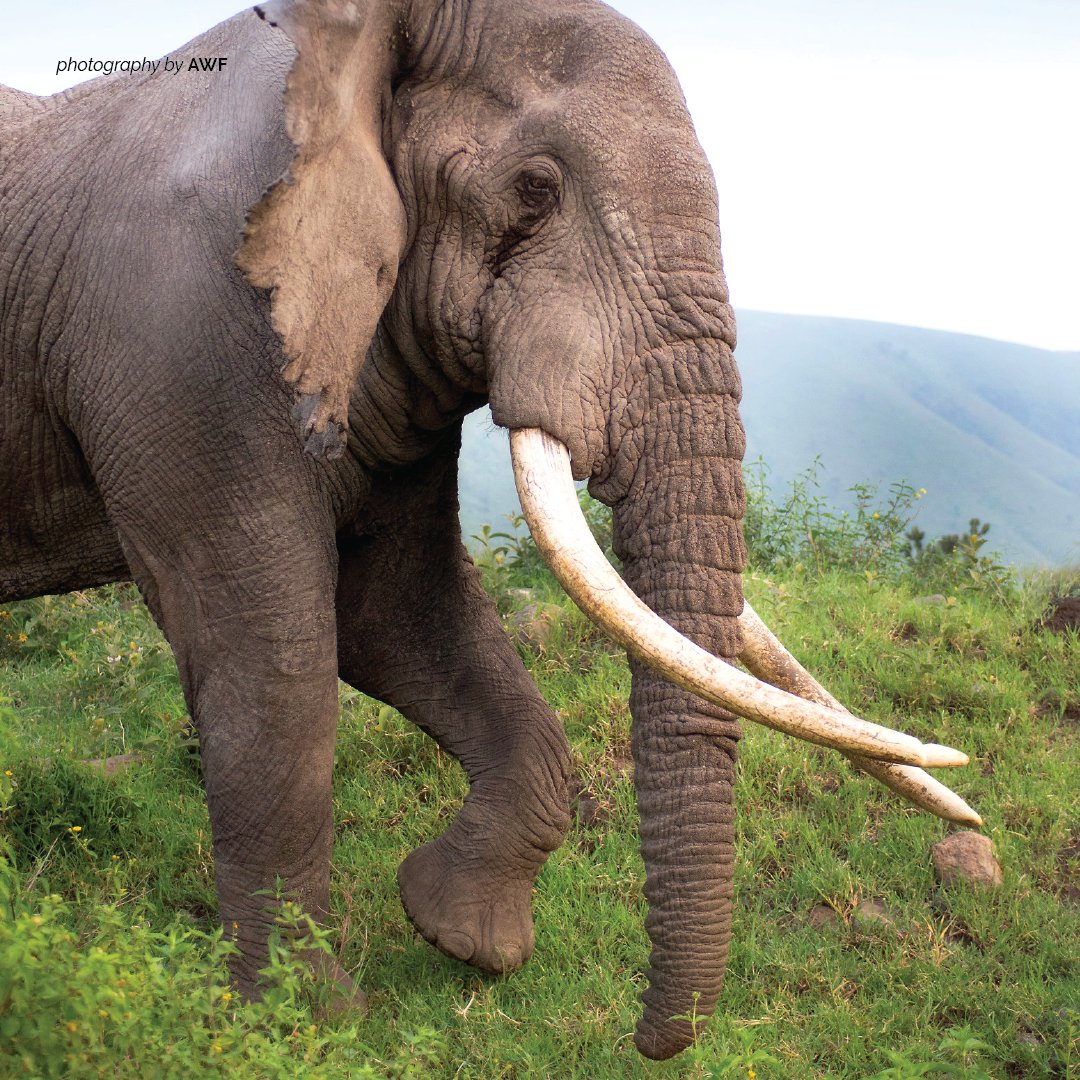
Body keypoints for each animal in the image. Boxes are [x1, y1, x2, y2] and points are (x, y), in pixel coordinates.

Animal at [0, 0, 980, 1058]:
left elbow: (396, 610)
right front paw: (310, 1023)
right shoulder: (184, 339)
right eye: (535, 192)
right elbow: (270, 655)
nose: (647, 1039)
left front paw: (465, 936)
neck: (346, 54)